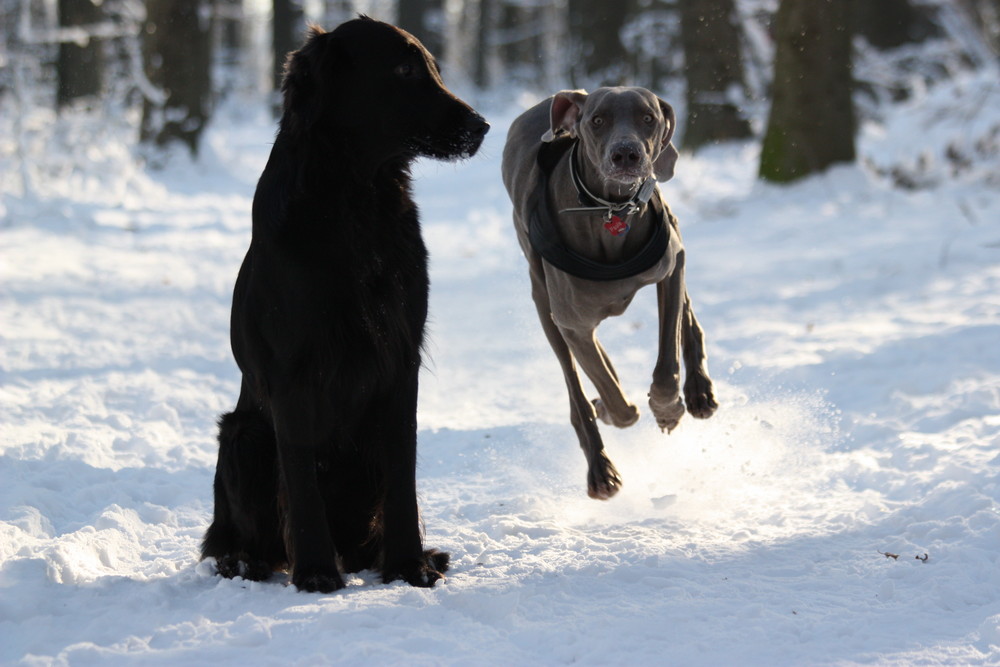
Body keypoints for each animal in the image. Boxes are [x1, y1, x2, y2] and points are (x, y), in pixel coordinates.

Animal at [200, 15, 488, 592]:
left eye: (433, 69)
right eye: (403, 71)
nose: (482, 126)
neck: (357, 199)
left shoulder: (401, 357)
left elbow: (403, 474)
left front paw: (409, 563)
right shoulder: (292, 371)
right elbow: (301, 481)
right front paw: (314, 570)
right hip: (243, 435)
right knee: (227, 540)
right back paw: (247, 561)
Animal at [504, 86, 716, 498]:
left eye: (648, 118)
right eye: (597, 120)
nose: (626, 154)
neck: (610, 212)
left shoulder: (668, 271)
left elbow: (667, 361)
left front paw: (668, 408)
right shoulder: (573, 324)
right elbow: (618, 403)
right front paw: (613, 407)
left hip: (673, 241)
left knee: (688, 314)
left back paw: (699, 390)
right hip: (545, 305)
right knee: (576, 389)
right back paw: (600, 470)